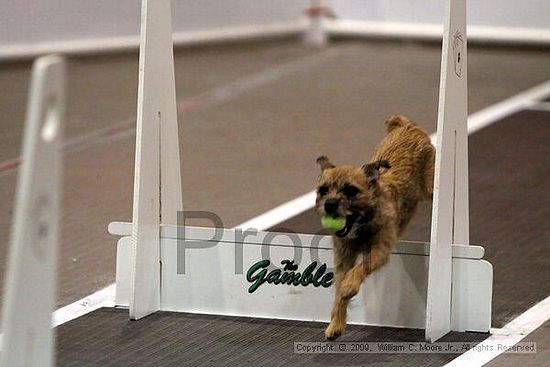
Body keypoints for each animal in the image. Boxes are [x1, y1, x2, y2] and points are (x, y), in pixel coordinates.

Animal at [316, 115, 438, 342]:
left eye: (351, 190)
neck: (363, 221)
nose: (330, 204)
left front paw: (350, 286)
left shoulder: (379, 250)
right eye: (323, 190)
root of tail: (407, 125)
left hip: (431, 186)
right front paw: (336, 324)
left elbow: (361, 267)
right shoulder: (343, 258)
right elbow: (339, 290)